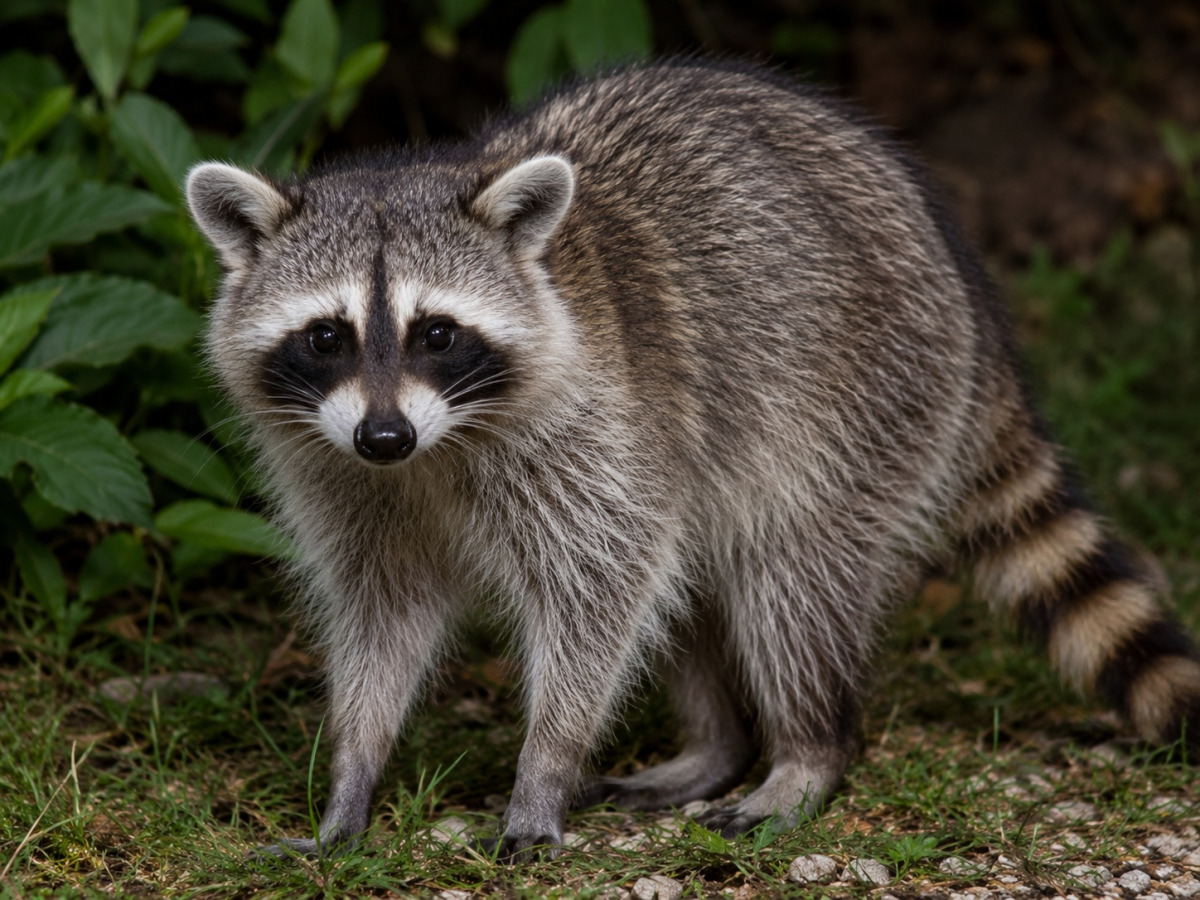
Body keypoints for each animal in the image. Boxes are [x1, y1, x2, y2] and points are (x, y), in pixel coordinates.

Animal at [185, 60, 1200, 858]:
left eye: (437, 333)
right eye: (327, 336)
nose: (384, 438)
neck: (434, 451)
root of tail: (966, 288)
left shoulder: (596, 425)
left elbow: (598, 595)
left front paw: (543, 767)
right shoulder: (341, 472)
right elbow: (384, 614)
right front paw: (354, 773)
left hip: (863, 398)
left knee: (790, 576)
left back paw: (806, 750)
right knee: (686, 581)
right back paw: (717, 745)